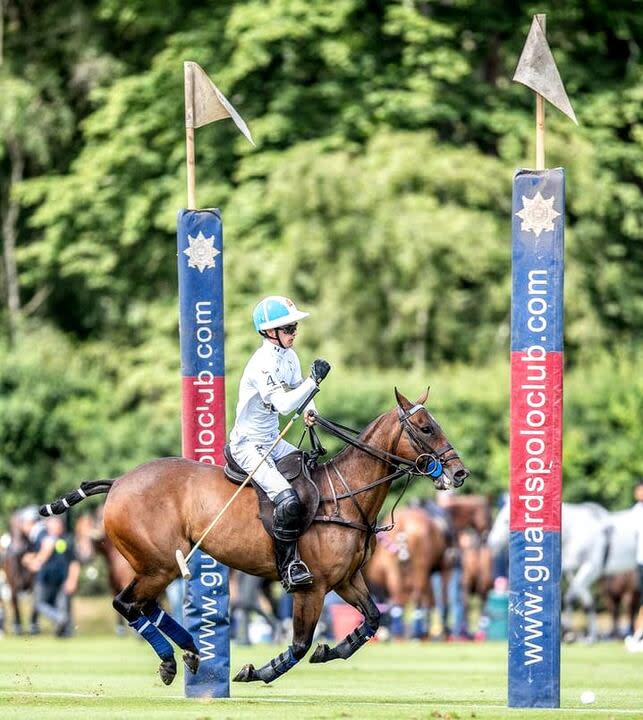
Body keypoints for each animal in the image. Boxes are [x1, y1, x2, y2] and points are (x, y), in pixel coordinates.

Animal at [42, 388, 470, 688]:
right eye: (427, 428)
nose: (459, 473)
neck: (346, 495)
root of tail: (117, 483)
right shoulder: (312, 587)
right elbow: (298, 645)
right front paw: (256, 671)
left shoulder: (347, 580)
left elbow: (372, 620)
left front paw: (332, 649)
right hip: (158, 563)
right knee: (126, 604)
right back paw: (172, 660)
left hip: (158, 565)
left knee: (142, 606)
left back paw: (191, 651)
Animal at [488, 500, 640, 640]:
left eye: (505, 521)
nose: (490, 543)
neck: (574, 530)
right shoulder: (573, 569)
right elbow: (587, 602)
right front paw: (590, 637)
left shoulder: (592, 567)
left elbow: (571, 597)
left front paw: (567, 631)